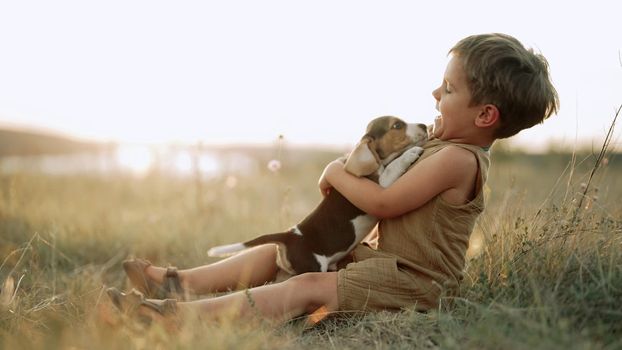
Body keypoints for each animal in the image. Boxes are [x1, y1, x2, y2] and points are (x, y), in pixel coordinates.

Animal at [208, 116, 428, 274]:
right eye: (397, 125)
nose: (425, 126)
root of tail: (289, 235)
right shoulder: (380, 186)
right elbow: (393, 166)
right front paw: (410, 153)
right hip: (312, 267)